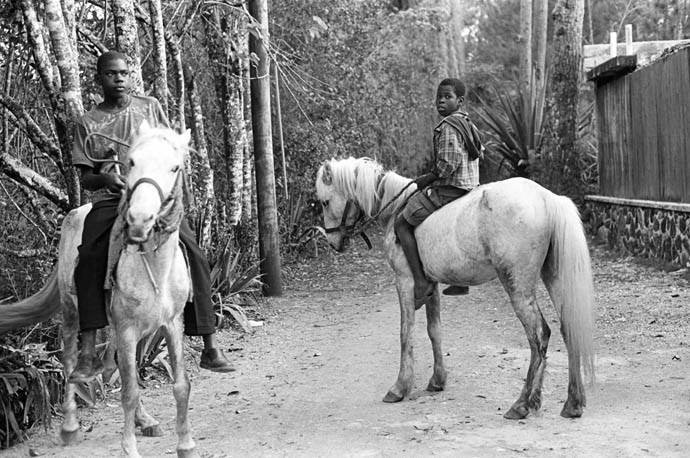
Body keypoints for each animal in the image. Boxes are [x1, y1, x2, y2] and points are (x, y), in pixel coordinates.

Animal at [0, 122, 199, 458]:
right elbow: (129, 391)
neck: (154, 267)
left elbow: (180, 385)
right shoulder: (127, 327)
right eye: (131, 162)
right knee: (70, 358)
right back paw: (70, 426)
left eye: (175, 167)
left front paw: (185, 444)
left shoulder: (171, 325)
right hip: (72, 311)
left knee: (118, 362)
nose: (139, 220)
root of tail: (74, 214)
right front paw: (129, 448)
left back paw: (146, 421)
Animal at [314, 157, 592, 418]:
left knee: (539, 335)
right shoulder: (431, 285)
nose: (333, 242)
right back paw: (571, 403)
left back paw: (522, 404)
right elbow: (434, 330)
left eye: (325, 202)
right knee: (569, 329)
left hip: (517, 285)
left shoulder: (404, 281)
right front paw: (437, 380)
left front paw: (400, 387)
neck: (395, 207)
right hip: (553, 278)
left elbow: (406, 333)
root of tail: (546, 198)